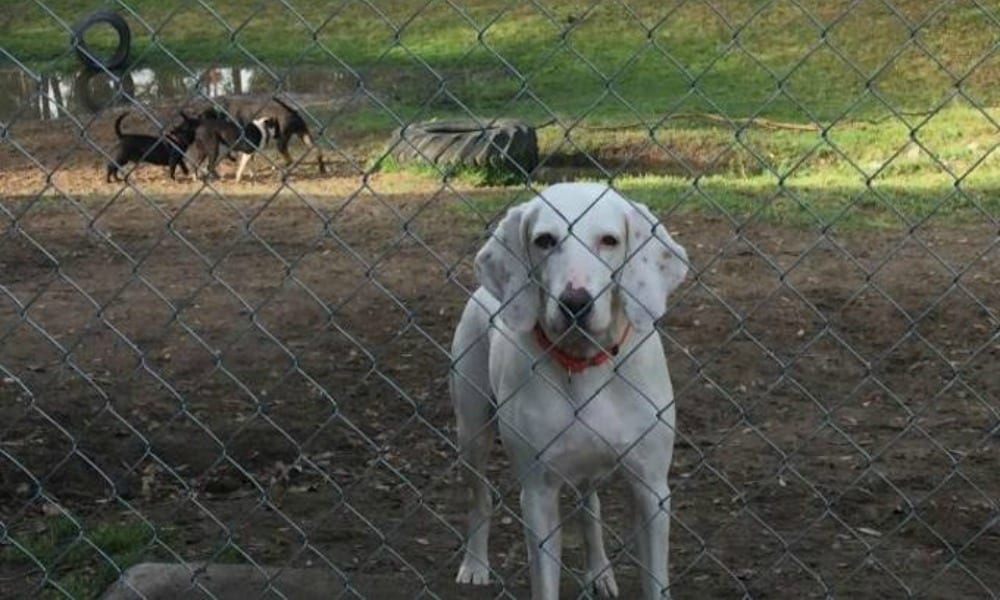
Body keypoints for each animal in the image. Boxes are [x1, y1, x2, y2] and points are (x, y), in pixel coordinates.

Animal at [452, 183, 688, 600]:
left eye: (609, 240)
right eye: (545, 240)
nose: (575, 303)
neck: (584, 365)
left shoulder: (651, 490)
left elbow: (654, 579)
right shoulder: (538, 495)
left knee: (589, 509)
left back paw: (599, 572)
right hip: (471, 432)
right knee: (479, 496)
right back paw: (475, 564)